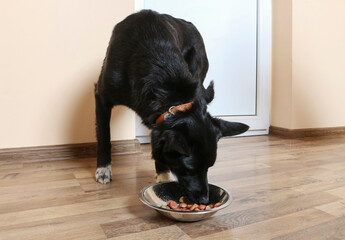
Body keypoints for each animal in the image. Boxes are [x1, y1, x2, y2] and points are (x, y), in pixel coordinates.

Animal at [94, 10, 247, 203]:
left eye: (209, 167)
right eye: (188, 170)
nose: (205, 200)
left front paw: (162, 175)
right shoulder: (101, 96)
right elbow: (104, 135)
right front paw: (104, 168)